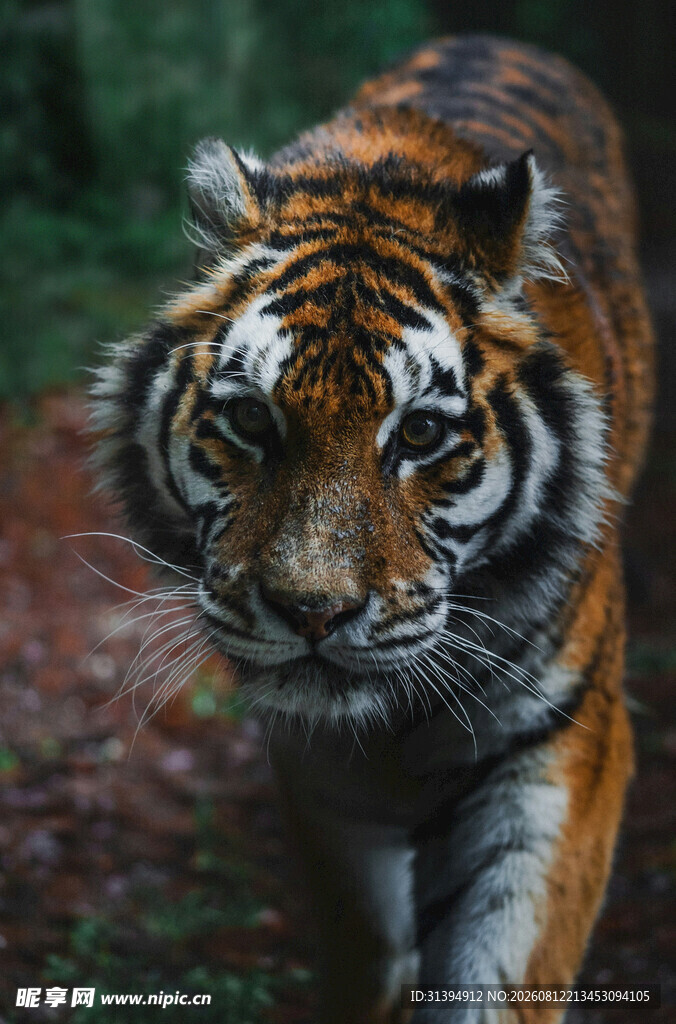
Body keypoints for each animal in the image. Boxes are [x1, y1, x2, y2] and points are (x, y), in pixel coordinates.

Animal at [92, 34, 654, 1024]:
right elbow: (367, 940)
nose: (313, 612)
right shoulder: (321, 771)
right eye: (251, 420)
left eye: (420, 434)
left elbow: (501, 967)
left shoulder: (560, 744)